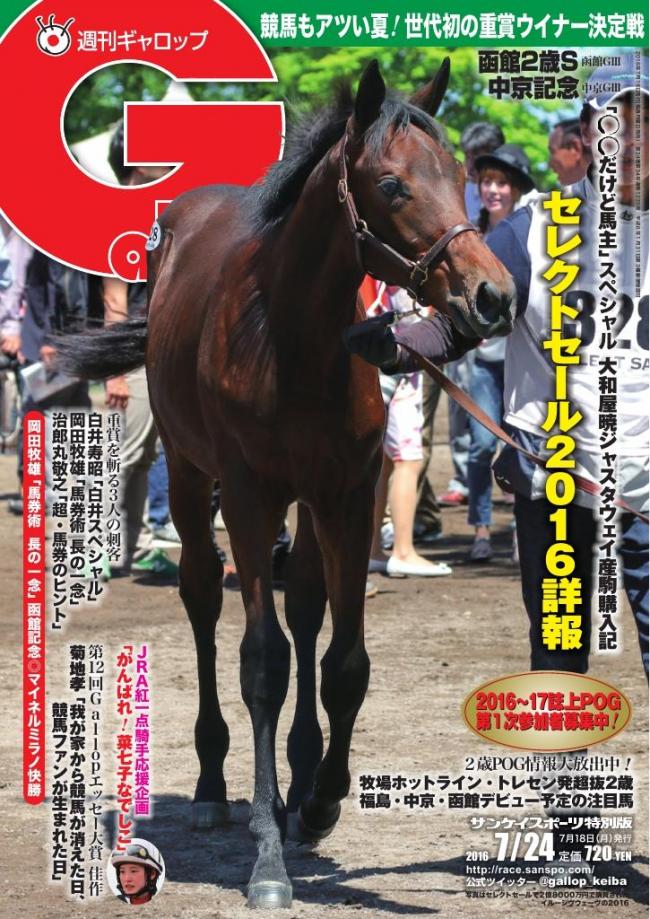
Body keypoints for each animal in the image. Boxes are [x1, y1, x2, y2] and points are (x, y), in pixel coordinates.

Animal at [59, 59, 515, 909]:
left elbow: (344, 661)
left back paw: (302, 782)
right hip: (192, 473)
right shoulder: (248, 493)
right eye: (392, 184)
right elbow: (263, 662)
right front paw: (269, 854)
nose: (493, 296)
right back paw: (215, 789)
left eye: (460, 174)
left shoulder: (349, 490)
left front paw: (322, 797)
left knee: (304, 604)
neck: (289, 335)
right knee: (204, 598)